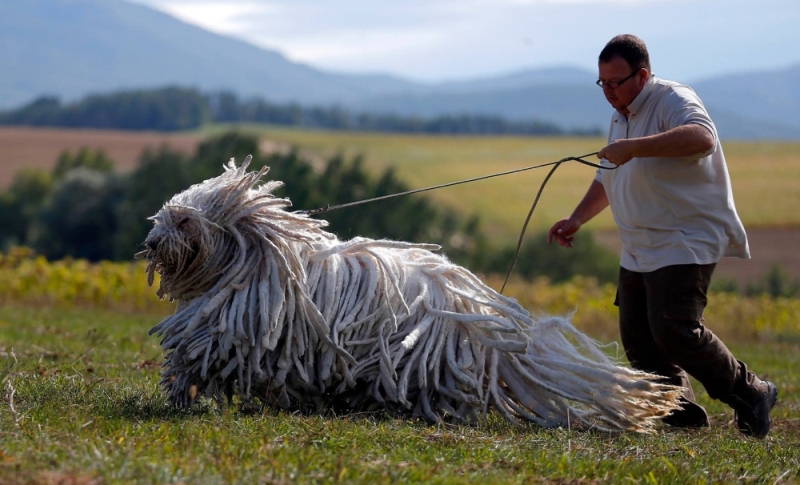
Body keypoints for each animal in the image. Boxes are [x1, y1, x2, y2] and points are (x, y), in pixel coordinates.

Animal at [139, 156, 680, 432]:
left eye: (183, 221)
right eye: (164, 216)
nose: (152, 242)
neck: (254, 259)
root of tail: (476, 309)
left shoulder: (229, 328)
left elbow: (195, 354)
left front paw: (180, 392)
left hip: (415, 353)